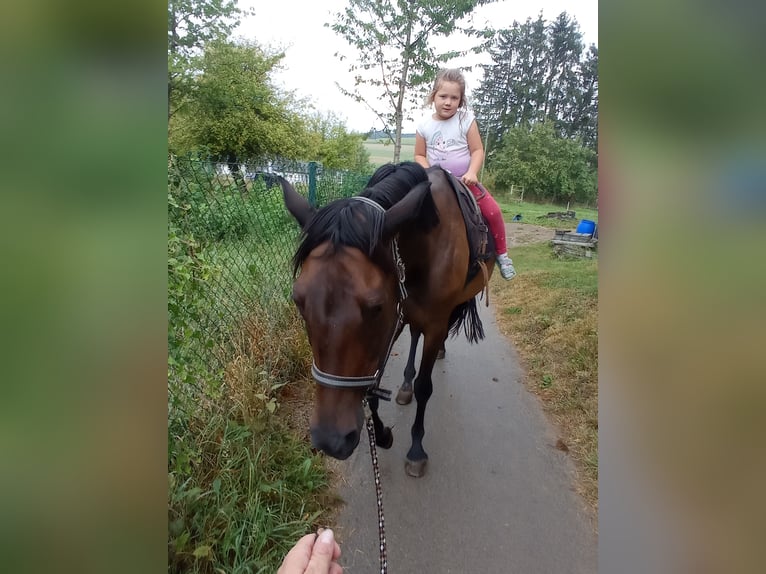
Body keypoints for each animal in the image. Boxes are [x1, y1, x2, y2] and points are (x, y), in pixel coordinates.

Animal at [280, 161, 496, 476]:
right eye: (298, 300)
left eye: (376, 307)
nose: (331, 440)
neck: (427, 245)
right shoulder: (398, 316)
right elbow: (373, 384)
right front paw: (381, 433)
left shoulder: (428, 322)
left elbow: (425, 387)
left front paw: (416, 449)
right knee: (415, 335)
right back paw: (405, 386)